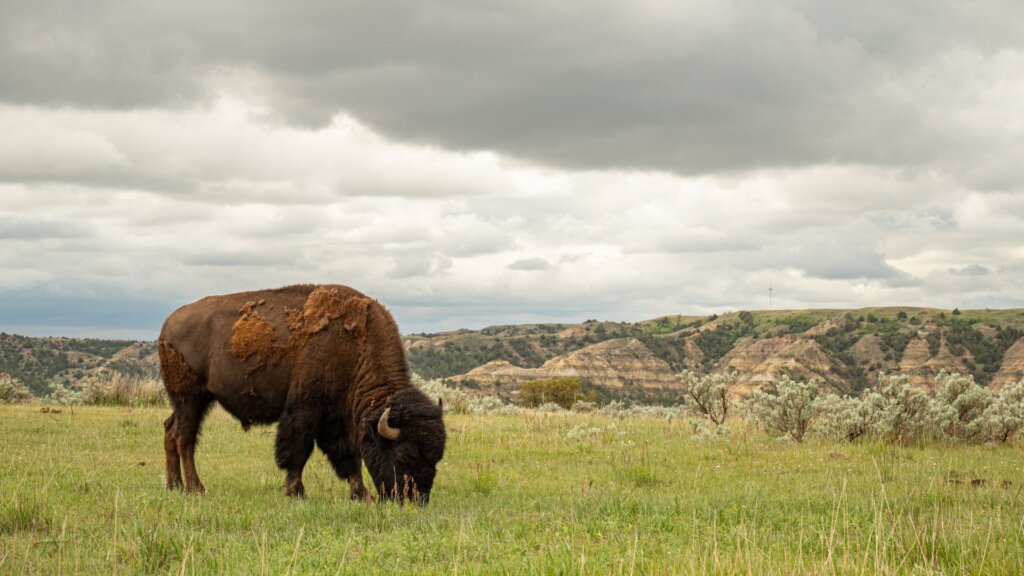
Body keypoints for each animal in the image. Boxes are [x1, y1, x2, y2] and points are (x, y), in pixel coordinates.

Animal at [158, 284, 446, 503]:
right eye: (404, 454)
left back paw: (173, 485)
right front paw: (296, 492)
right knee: (185, 438)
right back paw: (196, 488)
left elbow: (349, 455)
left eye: (437, 456)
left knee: (170, 430)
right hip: (190, 398)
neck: (355, 349)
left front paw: (361, 494)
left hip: (190, 401)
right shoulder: (305, 410)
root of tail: (167, 326)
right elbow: (298, 450)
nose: (416, 498)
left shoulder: (337, 418)